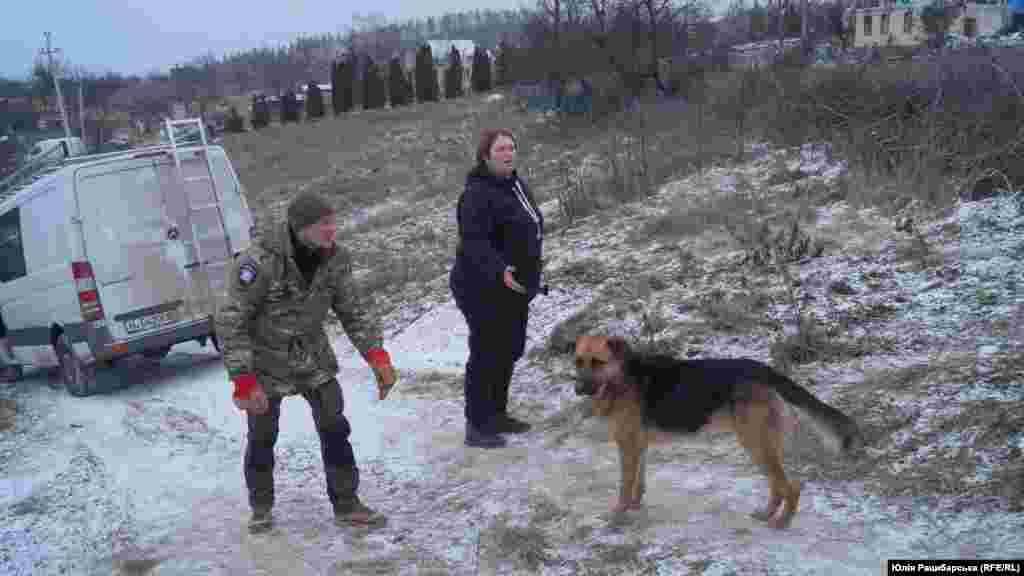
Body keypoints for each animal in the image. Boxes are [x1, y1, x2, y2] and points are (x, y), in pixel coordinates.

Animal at [573, 334, 860, 528]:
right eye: (578, 362)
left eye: (597, 362)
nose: (577, 389)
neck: (620, 378)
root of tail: (764, 369)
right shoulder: (638, 445)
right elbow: (638, 483)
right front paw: (634, 506)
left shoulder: (628, 446)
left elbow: (624, 486)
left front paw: (617, 515)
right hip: (762, 445)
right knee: (777, 486)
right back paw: (767, 514)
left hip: (755, 444)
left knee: (791, 487)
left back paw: (781, 522)